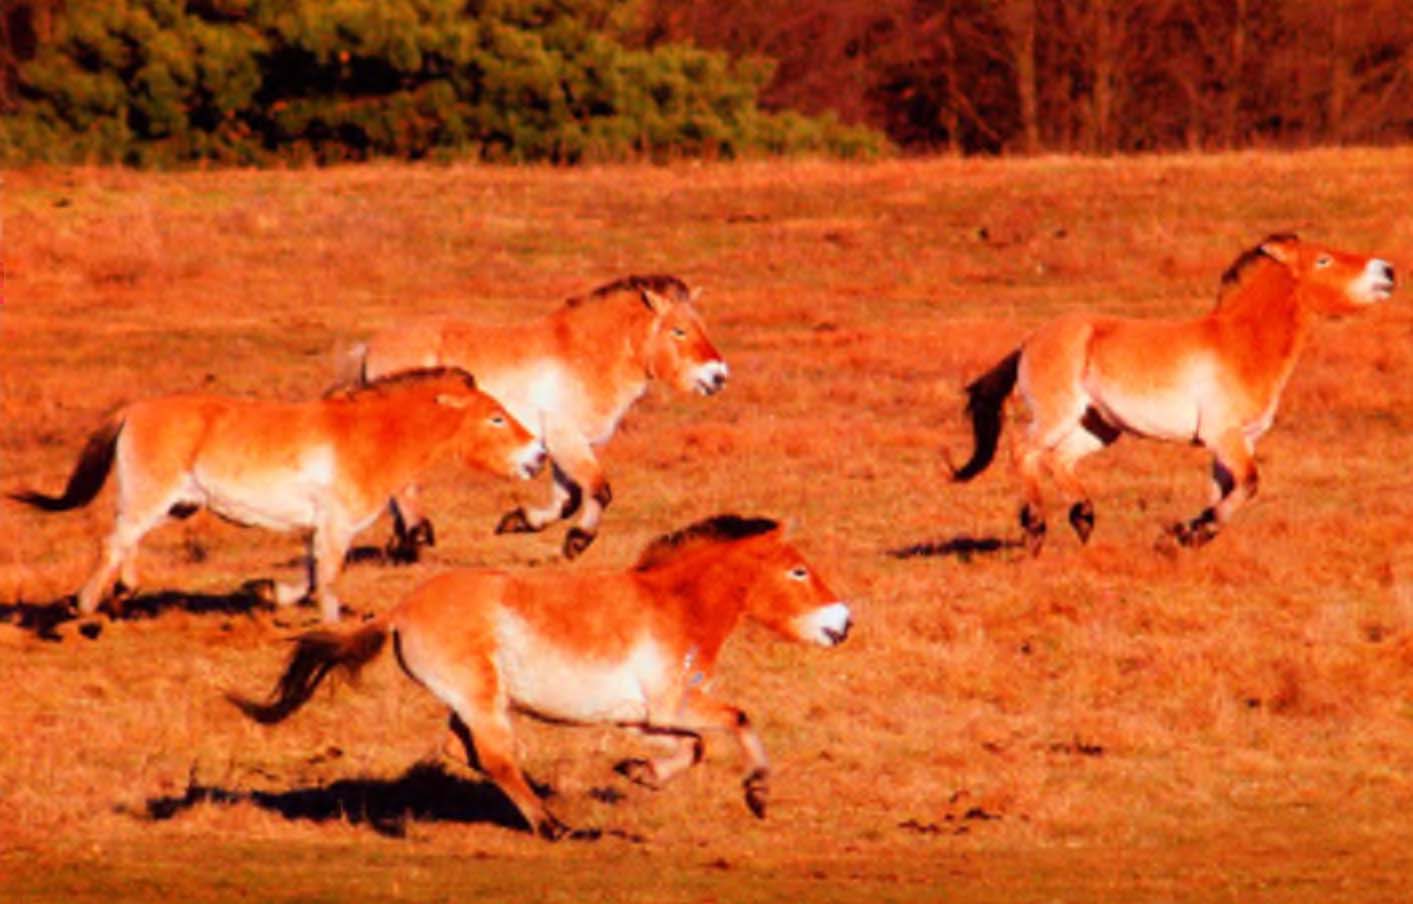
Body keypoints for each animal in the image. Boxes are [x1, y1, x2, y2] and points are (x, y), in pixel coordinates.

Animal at [13, 367, 548, 621]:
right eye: (496, 417)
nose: (539, 455)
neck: (370, 436)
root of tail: (132, 410)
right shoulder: (335, 526)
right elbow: (327, 578)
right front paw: (330, 626)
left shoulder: (319, 529)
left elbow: (310, 576)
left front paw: (271, 593)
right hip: (151, 499)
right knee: (114, 542)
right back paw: (83, 607)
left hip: (173, 505)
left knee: (126, 544)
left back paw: (124, 594)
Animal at [228, 514, 847, 841]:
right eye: (798, 571)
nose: (843, 623)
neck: (674, 605)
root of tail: (400, 611)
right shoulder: (673, 705)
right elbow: (738, 719)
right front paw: (758, 793)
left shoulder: (649, 717)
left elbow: (692, 749)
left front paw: (640, 771)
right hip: (482, 700)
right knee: (496, 758)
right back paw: (555, 827)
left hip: (476, 701)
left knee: (469, 751)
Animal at [341, 271, 729, 562]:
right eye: (679, 330)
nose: (718, 376)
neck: (583, 356)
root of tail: (370, 347)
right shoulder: (565, 437)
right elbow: (597, 490)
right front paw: (577, 541)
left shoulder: (561, 445)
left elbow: (567, 500)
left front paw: (517, 522)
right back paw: (418, 533)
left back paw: (403, 542)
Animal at [943, 234, 1396, 550]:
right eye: (1324, 259)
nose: (1388, 271)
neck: (1242, 345)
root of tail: (1029, 341)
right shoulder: (1224, 435)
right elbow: (1249, 483)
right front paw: (1186, 532)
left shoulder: (1234, 441)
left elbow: (1227, 491)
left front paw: (1190, 533)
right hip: (1057, 415)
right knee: (1025, 451)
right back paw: (1036, 527)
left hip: (1099, 427)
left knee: (1058, 459)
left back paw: (1083, 518)